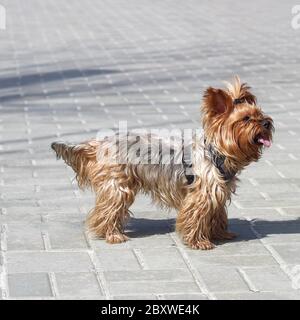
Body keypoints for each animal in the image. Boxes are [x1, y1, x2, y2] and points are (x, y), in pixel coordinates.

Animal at [52, 77, 274, 250]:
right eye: (246, 119)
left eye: (261, 114)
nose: (267, 122)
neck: (217, 153)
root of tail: (100, 143)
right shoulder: (200, 195)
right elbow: (196, 217)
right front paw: (199, 242)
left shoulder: (218, 192)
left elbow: (217, 214)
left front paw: (221, 234)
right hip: (118, 186)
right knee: (108, 209)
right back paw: (113, 235)